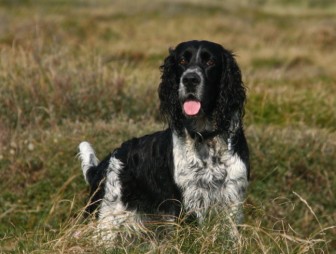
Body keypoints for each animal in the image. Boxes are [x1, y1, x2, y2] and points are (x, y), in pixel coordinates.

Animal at [78, 39, 249, 238]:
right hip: (106, 218)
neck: (205, 138)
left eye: (210, 61)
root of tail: (101, 166)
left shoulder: (233, 197)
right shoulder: (186, 201)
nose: (190, 79)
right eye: (182, 61)